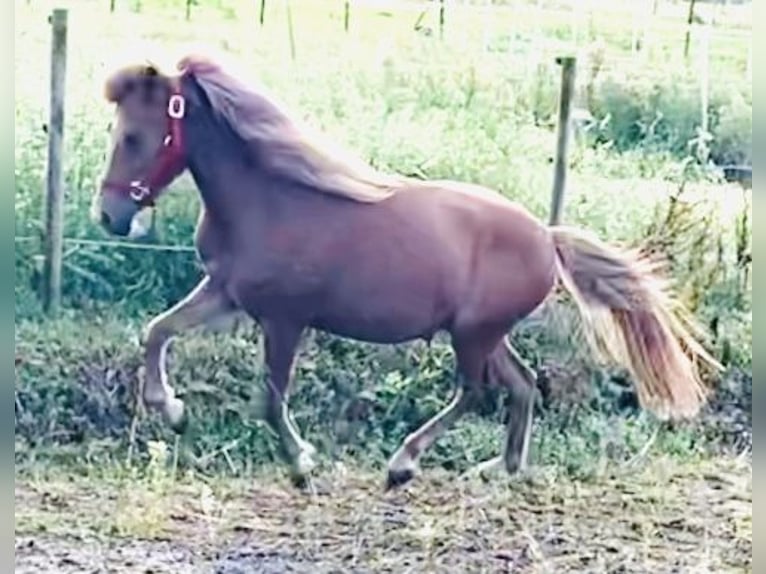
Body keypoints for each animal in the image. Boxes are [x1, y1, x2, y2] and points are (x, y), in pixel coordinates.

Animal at [93, 54, 724, 490]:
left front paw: (302, 462)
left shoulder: (284, 320)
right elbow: (157, 331)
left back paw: (404, 463)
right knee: (521, 386)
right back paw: (499, 468)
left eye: (134, 136)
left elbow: (271, 399)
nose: (110, 215)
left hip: (472, 335)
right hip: (484, 334)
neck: (267, 199)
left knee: (476, 392)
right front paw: (172, 411)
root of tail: (547, 236)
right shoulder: (225, 293)